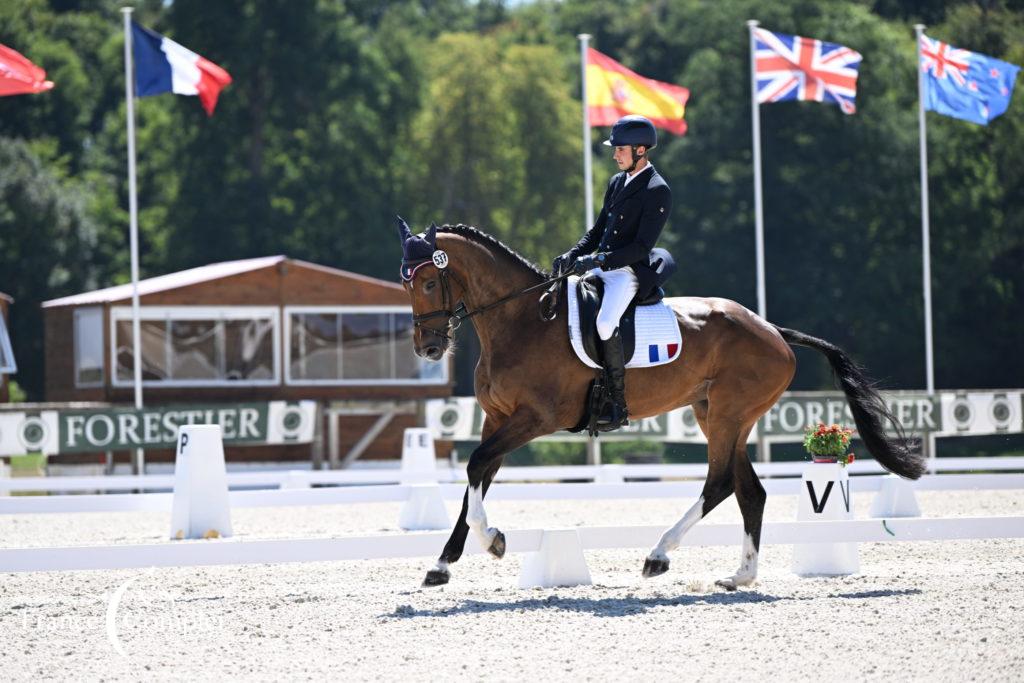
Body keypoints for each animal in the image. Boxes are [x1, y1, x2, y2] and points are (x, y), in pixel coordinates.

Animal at [395, 222, 925, 589]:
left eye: (429, 283)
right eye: (405, 284)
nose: (428, 348)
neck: (521, 320)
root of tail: (773, 330)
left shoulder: (535, 418)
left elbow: (476, 466)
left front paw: (494, 541)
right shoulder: (498, 418)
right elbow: (477, 476)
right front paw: (442, 564)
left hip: (729, 413)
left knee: (719, 483)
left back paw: (659, 555)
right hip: (716, 415)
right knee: (749, 491)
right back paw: (740, 575)